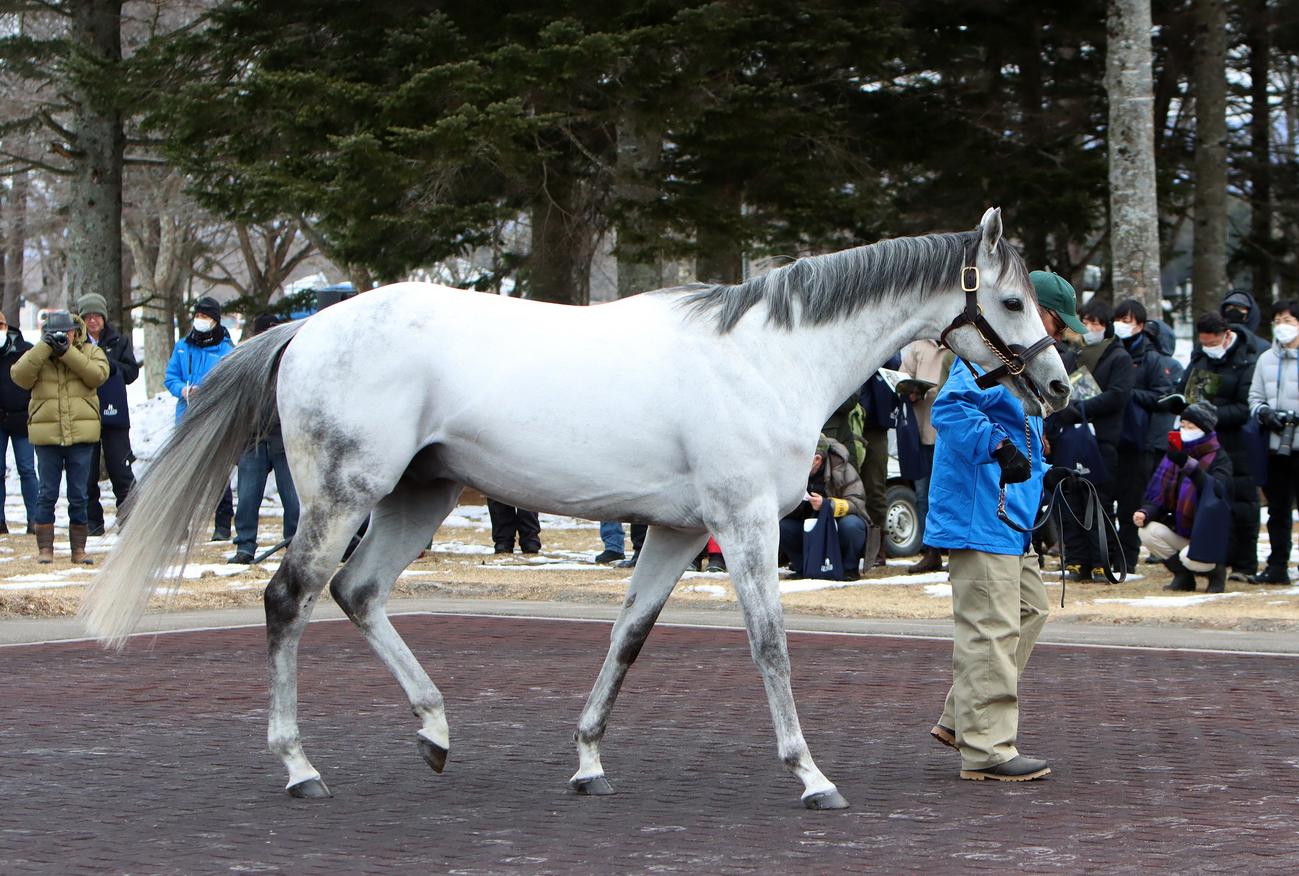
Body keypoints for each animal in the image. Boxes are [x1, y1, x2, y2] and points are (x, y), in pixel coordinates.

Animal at [81, 207, 1070, 810]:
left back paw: (435, 731)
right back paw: (300, 768)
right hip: (342, 496)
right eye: (1010, 300)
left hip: (419, 496)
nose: (1059, 388)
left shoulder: (677, 529)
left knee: (358, 593)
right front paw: (810, 774)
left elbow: (628, 636)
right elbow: (769, 646)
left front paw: (590, 759)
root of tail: (307, 326)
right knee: (288, 599)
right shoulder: (744, 523)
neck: (766, 355)